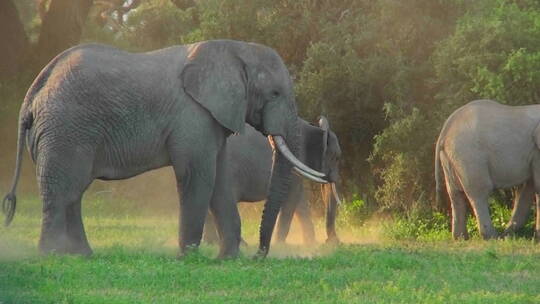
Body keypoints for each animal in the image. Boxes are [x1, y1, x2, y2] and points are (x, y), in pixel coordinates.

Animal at [2, 39, 326, 258]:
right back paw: (53, 254)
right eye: (275, 93)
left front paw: (227, 259)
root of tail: (35, 90)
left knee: (74, 192)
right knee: (63, 189)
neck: (234, 48)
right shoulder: (193, 115)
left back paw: (82, 255)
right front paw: (189, 258)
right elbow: (198, 175)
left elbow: (219, 178)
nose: (260, 255)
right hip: (66, 129)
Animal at [436, 100, 540, 240]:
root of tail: (445, 130)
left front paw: (510, 234)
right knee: (479, 192)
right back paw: (491, 237)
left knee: (455, 194)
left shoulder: (533, 153)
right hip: (470, 157)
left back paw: (461, 238)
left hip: (451, 157)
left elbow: (527, 189)